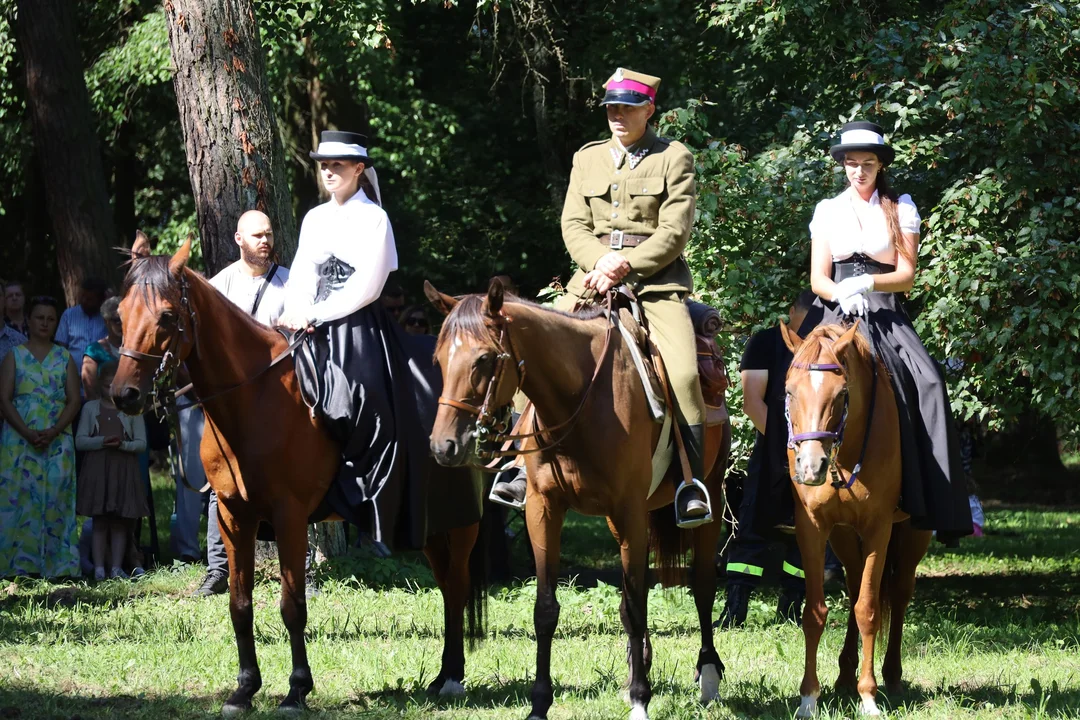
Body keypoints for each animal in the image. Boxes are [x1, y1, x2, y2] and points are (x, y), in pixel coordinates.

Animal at [110, 239, 486, 712]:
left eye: (166, 316)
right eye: (120, 313)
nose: (124, 395)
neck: (253, 399)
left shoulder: (289, 518)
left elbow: (292, 606)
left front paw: (296, 690)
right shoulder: (234, 517)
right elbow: (240, 603)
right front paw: (244, 689)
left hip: (460, 521)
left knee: (458, 584)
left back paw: (453, 677)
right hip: (429, 524)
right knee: (448, 586)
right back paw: (441, 677)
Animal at [425, 280, 730, 720]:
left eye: (483, 359)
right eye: (438, 359)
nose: (443, 446)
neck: (580, 399)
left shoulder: (629, 510)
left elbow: (635, 608)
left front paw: (641, 700)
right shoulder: (544, 511)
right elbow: (547, 609)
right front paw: (539, 704)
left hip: (711, 496)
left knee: (702, 585)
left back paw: (707, 674)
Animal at [781, 323, 933, 716]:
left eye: (842, 394)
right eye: (789, 392)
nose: (811, 466)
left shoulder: (879, 528)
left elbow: (869, 609)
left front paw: (868, 697)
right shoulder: (813, 528)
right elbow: (815, 613)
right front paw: (809, 698)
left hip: (913, 536)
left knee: (898, 593)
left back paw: (891, 675)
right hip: (845, 539)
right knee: (853, 588)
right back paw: (844, 675)